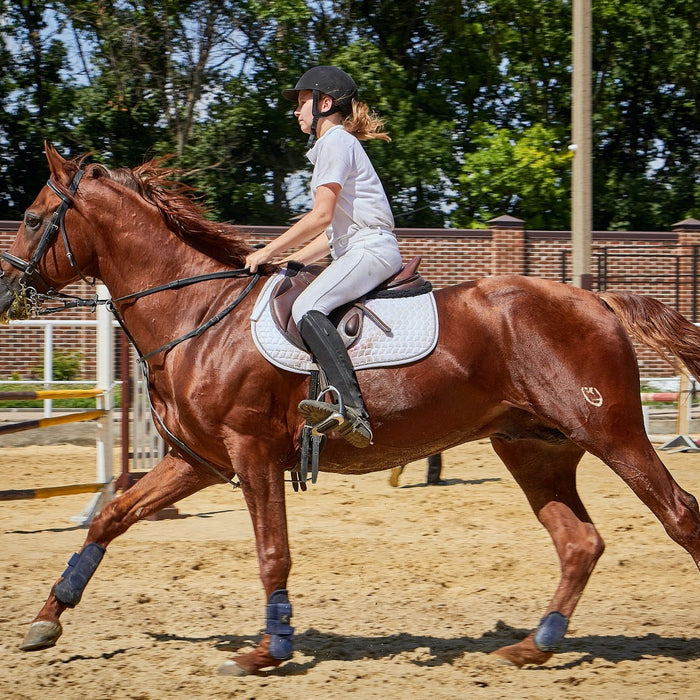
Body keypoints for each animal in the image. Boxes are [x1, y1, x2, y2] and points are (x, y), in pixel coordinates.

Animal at [1, 145, 700, 676]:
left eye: (33, 219)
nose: (6, 292)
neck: (197, 315)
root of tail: (596, 299)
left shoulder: (252, 453)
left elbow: (272, 552)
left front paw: (267, 651)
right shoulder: (197, 461)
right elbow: (111, 516)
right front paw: (46, 619)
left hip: (612, 433)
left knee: (679, 516)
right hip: (534, 448)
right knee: (579, 542)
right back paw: (533, 646)